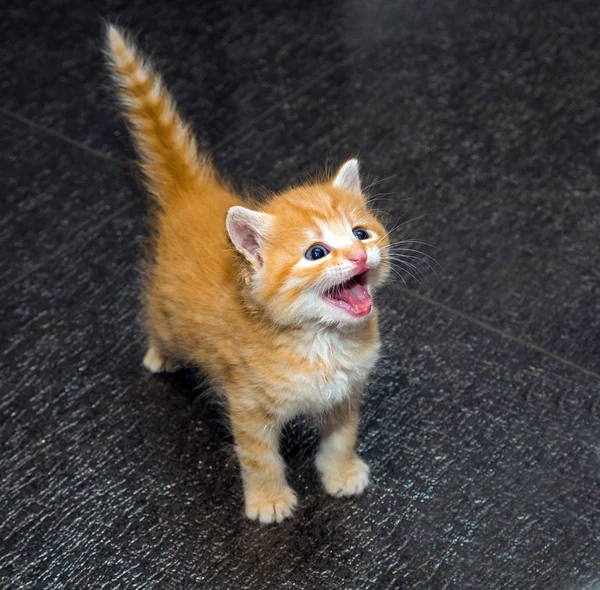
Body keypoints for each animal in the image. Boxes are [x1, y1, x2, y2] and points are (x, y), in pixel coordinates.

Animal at [105, 26, 392, 528]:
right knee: (158, 326)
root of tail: (195, 197)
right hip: (168, 317)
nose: (359, 255)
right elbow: (260, 457)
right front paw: (269, 500)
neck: (320, 342)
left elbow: (342, 436)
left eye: (361, 233)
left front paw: (340, 473)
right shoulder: (247, 405)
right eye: (316, 253)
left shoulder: (345, 394)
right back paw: (159, 356)